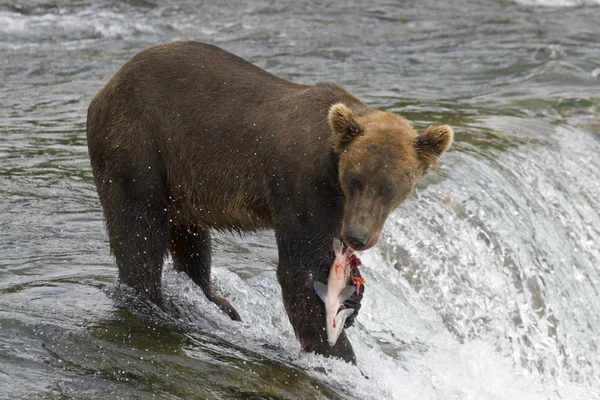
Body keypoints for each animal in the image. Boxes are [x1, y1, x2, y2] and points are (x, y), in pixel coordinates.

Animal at [86, 41, 452, 366]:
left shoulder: (336, 211)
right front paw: (339, 353)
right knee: (139, 229)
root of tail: (108, 84)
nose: (358, 236)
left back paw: (215, 301)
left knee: (191, 238)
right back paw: (155, 301)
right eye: (355, 180)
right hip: (139, 144)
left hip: (179, 178)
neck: (332, 173)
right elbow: (300, 271)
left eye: (390, 189)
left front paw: (352, 302)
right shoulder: (303, 187)